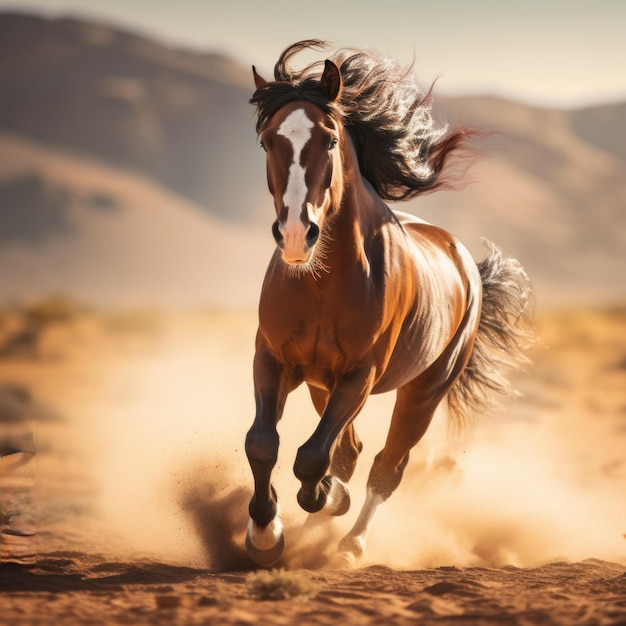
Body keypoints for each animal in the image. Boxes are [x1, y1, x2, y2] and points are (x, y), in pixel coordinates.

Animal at [244, 40, 532, 564]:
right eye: (267, 141)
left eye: (329, 140)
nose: (296, 234)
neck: (321, 284)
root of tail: (465, 262)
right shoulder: (273, 360)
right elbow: (263, 444)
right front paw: (265, 533)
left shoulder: (360, 376)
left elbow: (311, 458)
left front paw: (321, 500)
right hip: (321, 384)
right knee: (351, 452)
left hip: (422, 392)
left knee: (386, 466)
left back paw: (350, 544)